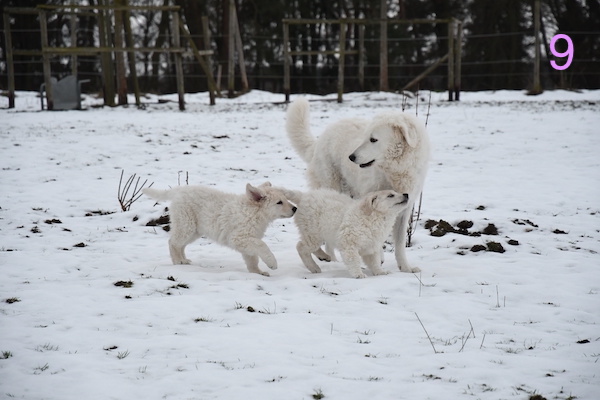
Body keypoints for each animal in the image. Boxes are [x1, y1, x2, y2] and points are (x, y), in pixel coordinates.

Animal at [144, 183, 298, 276]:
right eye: (279, 202)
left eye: (285, 199)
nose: (295, 208)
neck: (254, 212)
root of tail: (179, 190)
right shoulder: (240, 237)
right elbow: (262, 246)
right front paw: (272, 263)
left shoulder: (247, 240)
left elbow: (252, 258)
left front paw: (257, 272)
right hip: (186, 223)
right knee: (173, 242)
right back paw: (178, 262)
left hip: (194, 230)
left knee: (180, 244)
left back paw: (184, 260)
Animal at [278, 188, 410, 278]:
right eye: (390, 195)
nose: (406, 194)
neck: (375, 217)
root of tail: (303, 197)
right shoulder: (349, 243)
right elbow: (354, 260)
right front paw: (358, 274)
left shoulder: (371, 246)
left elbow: (374, 261)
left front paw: (380, 272)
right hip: (313, 233)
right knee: (301, 247)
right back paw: (314, 267)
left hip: (316, 234)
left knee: (309, 248)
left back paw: (324, 257)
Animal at [288, 97, 432, 272]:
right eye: (365, 138)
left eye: (373, 139)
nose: (351, 157)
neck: (396, 169)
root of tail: (319, 140)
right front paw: (378, 258)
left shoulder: (405, 208)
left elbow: (399, 244)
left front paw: (406, 268)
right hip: (331, 188)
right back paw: (332, 259)